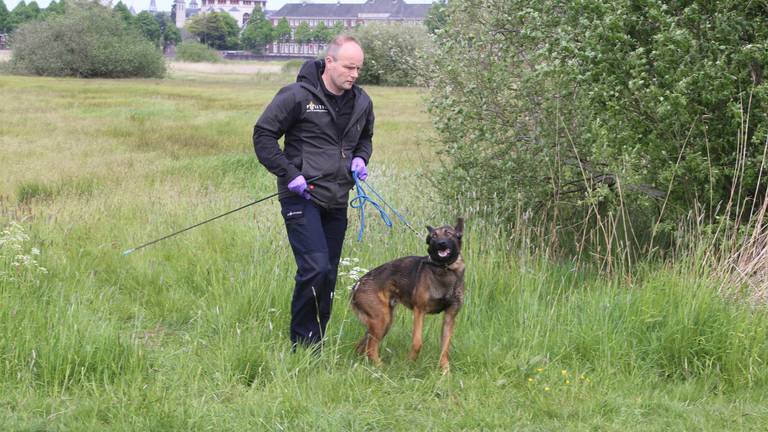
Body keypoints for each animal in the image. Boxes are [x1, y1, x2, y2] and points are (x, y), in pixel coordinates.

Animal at [352, 218, 464, 372]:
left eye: (448, 233)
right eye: (433, 236)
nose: (441, 243)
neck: (445, 269)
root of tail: (357, 285)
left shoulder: (450, 316)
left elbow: (445, 348)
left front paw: (445, 371)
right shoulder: (419, 311)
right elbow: (417, 342)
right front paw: (410, 364)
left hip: (384, 322)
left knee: (362, 345)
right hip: (382, 320)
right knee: (370, 347)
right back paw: (381, 368)